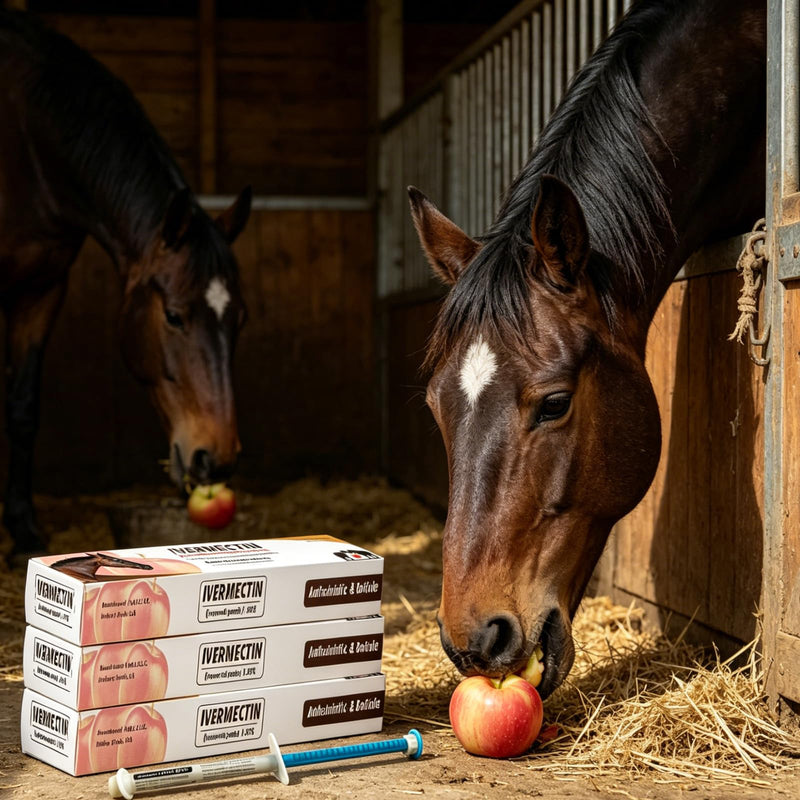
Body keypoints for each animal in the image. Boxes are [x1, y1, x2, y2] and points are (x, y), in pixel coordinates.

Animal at [0, 10, 251, 556]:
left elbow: (22, 408)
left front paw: (24, 530)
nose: (216, 459)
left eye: (239, 320)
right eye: (173, 315)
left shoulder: (43, 289)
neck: (29, 145)